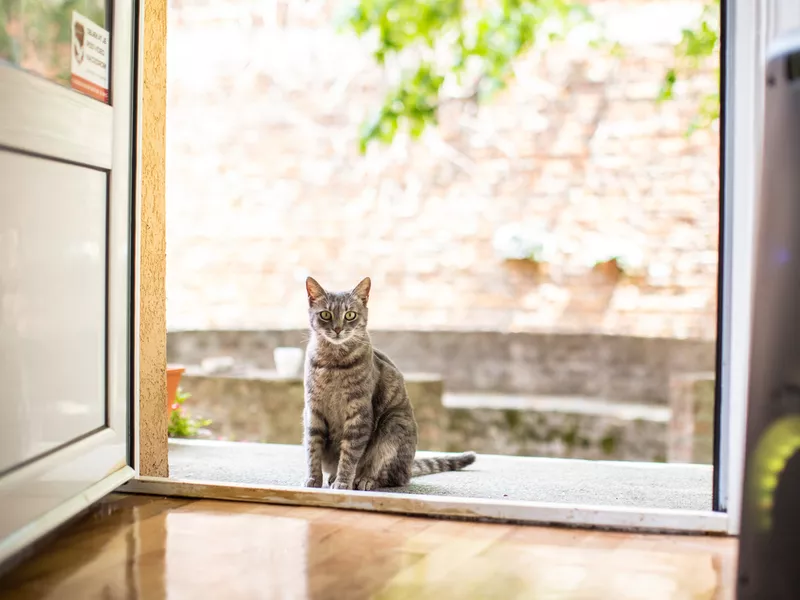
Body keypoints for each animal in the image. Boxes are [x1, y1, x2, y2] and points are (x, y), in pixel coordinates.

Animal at [300, 274, 476, 490]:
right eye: (325, 314)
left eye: (350, 315)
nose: (338, 329)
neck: (333, 363)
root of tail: (409, 467)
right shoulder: (312, 410)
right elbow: (312, 450)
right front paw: (314, 479)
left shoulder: (359, 413)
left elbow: (349, 455)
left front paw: (343, 482)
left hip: (393, 425)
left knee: (392, 476)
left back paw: (364, 479)